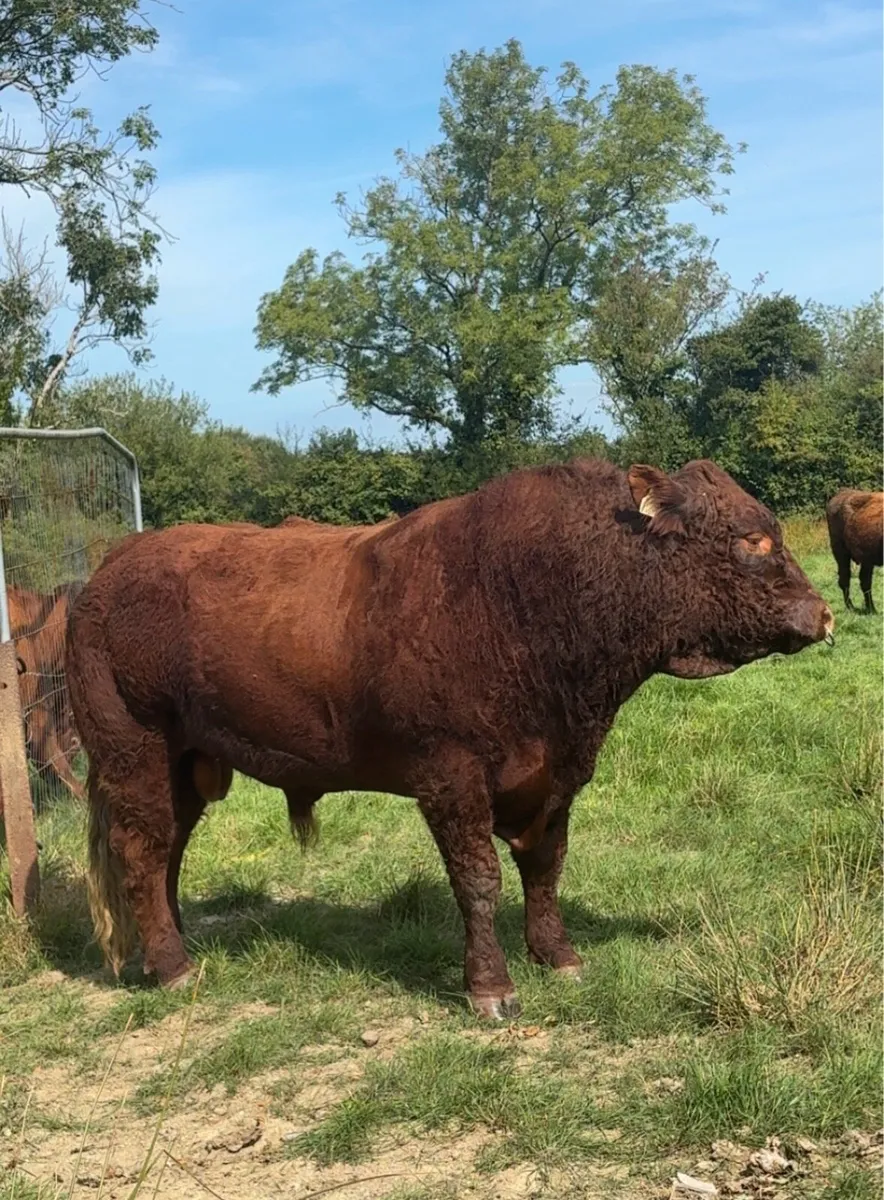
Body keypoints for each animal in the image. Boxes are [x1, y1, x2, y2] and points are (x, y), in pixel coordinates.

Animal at [66, 459, 834, 1019]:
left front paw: (559, 955)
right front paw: (491, 988)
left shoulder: (556, 776)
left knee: (167, 851)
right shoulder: (451, 776)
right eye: (753, 541)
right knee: (142, 852)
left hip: (186, 765)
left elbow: (546, 866)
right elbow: (479, 879)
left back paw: (168, 947)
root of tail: (110, 568)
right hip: (133, 750)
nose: (823, 614)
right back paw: (174, 969)